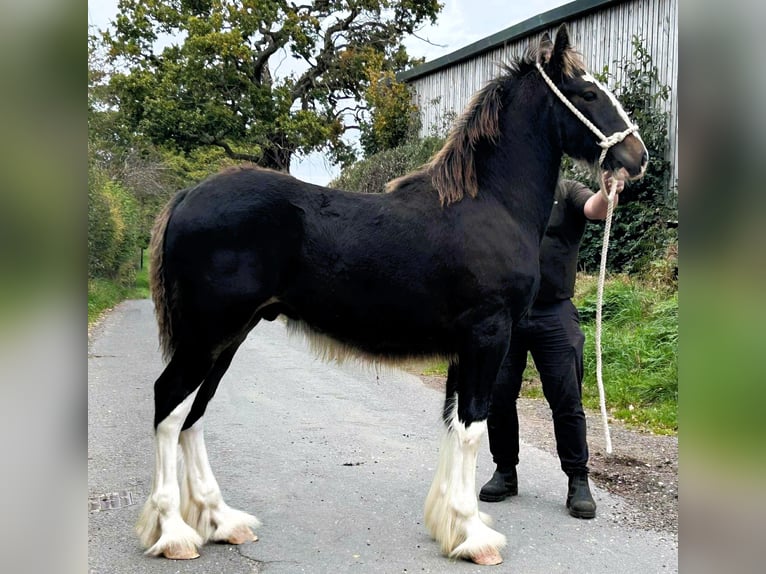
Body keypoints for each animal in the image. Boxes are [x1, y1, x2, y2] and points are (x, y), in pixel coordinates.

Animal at [137, 24, 647, 566]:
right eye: (588, 93)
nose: (637, 156)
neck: (490, 204)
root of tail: (187, 196)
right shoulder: (488, 336)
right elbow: (473, 428)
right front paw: (475, 536)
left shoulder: (464, 348)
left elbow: (453, 424)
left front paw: (449, 526)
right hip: (206, 336)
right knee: (170, 405)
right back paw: (174, 534)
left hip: (228, 338)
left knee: (194, 414)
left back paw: (222, 522)